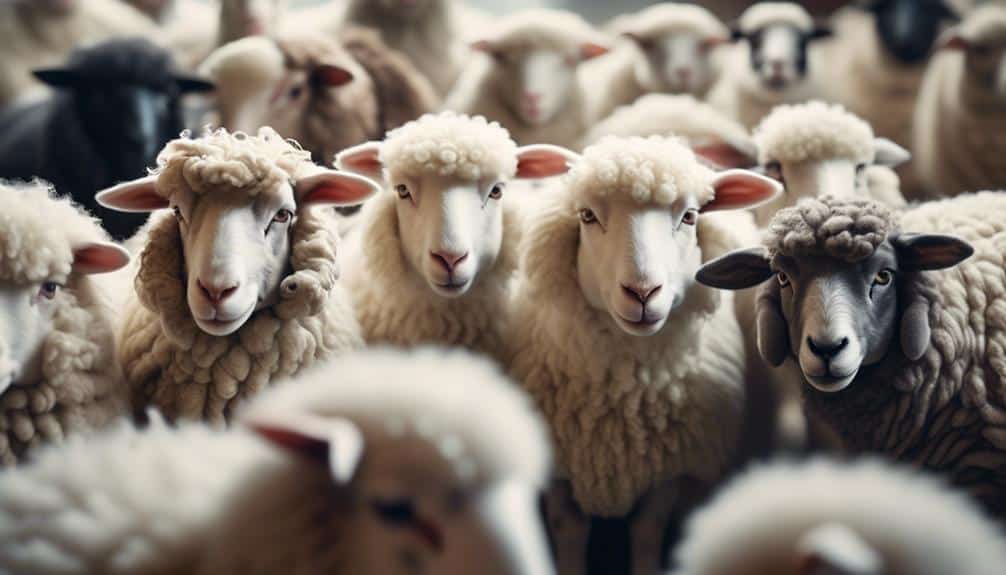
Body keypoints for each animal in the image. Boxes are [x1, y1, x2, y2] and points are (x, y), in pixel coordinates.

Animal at [507, 136, 782, 575]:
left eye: (690, 216)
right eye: (586, 215)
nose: (642, 292)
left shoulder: (667, 467)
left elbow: (648, 529)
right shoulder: (560, 469)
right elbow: (569, 531)